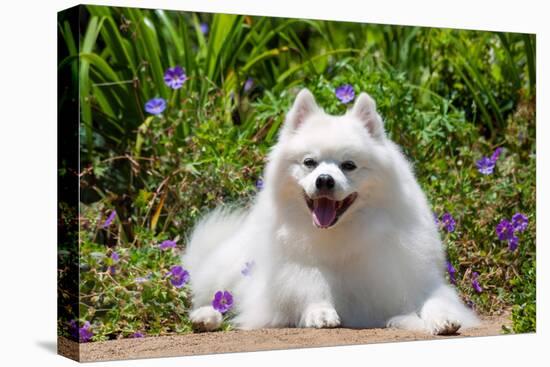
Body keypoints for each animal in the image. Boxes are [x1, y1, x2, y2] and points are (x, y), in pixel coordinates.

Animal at [184, 89, 478, 336]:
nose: (324, 180)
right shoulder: (296, 272)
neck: (341, 231)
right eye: (309, 162)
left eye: (348, 165)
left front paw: (442, 319)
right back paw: (205, 317)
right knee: (214, 297)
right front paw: (320, 311)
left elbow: (434, 301)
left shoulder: (408, 276)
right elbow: (309, 285)